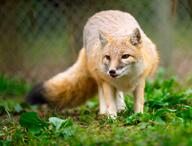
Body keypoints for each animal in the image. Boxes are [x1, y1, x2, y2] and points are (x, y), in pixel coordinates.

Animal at [27, 10, 159, 117]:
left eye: (125, 56)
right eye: (108, 57)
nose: (112, 71)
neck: (125, 80)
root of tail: (104, 11)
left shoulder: (140, 81)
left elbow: (139, 102)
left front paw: (138, 117)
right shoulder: (106, 81)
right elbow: (110, 103)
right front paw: (112, 119)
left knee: (119, 94)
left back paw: (121, 108)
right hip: (98, 77)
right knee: (102, 93)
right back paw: (103, 112)